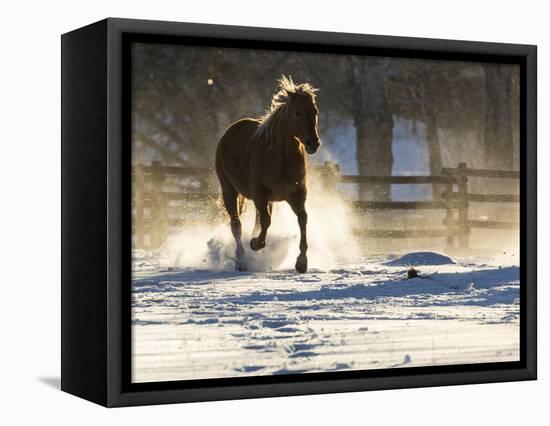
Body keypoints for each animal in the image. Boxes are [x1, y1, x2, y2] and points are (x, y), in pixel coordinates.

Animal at [215, 75, 322, 272]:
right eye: (298, 113)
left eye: (315, 111)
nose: (313, 143)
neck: (281, 157)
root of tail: (231, 131)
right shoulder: (259, 193)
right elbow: (266, 221)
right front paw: (255, 243)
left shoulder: (296, 194)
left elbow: (302, 219)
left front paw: (301, 262)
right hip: (229, 191)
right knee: (236, 225)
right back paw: (241, 260)